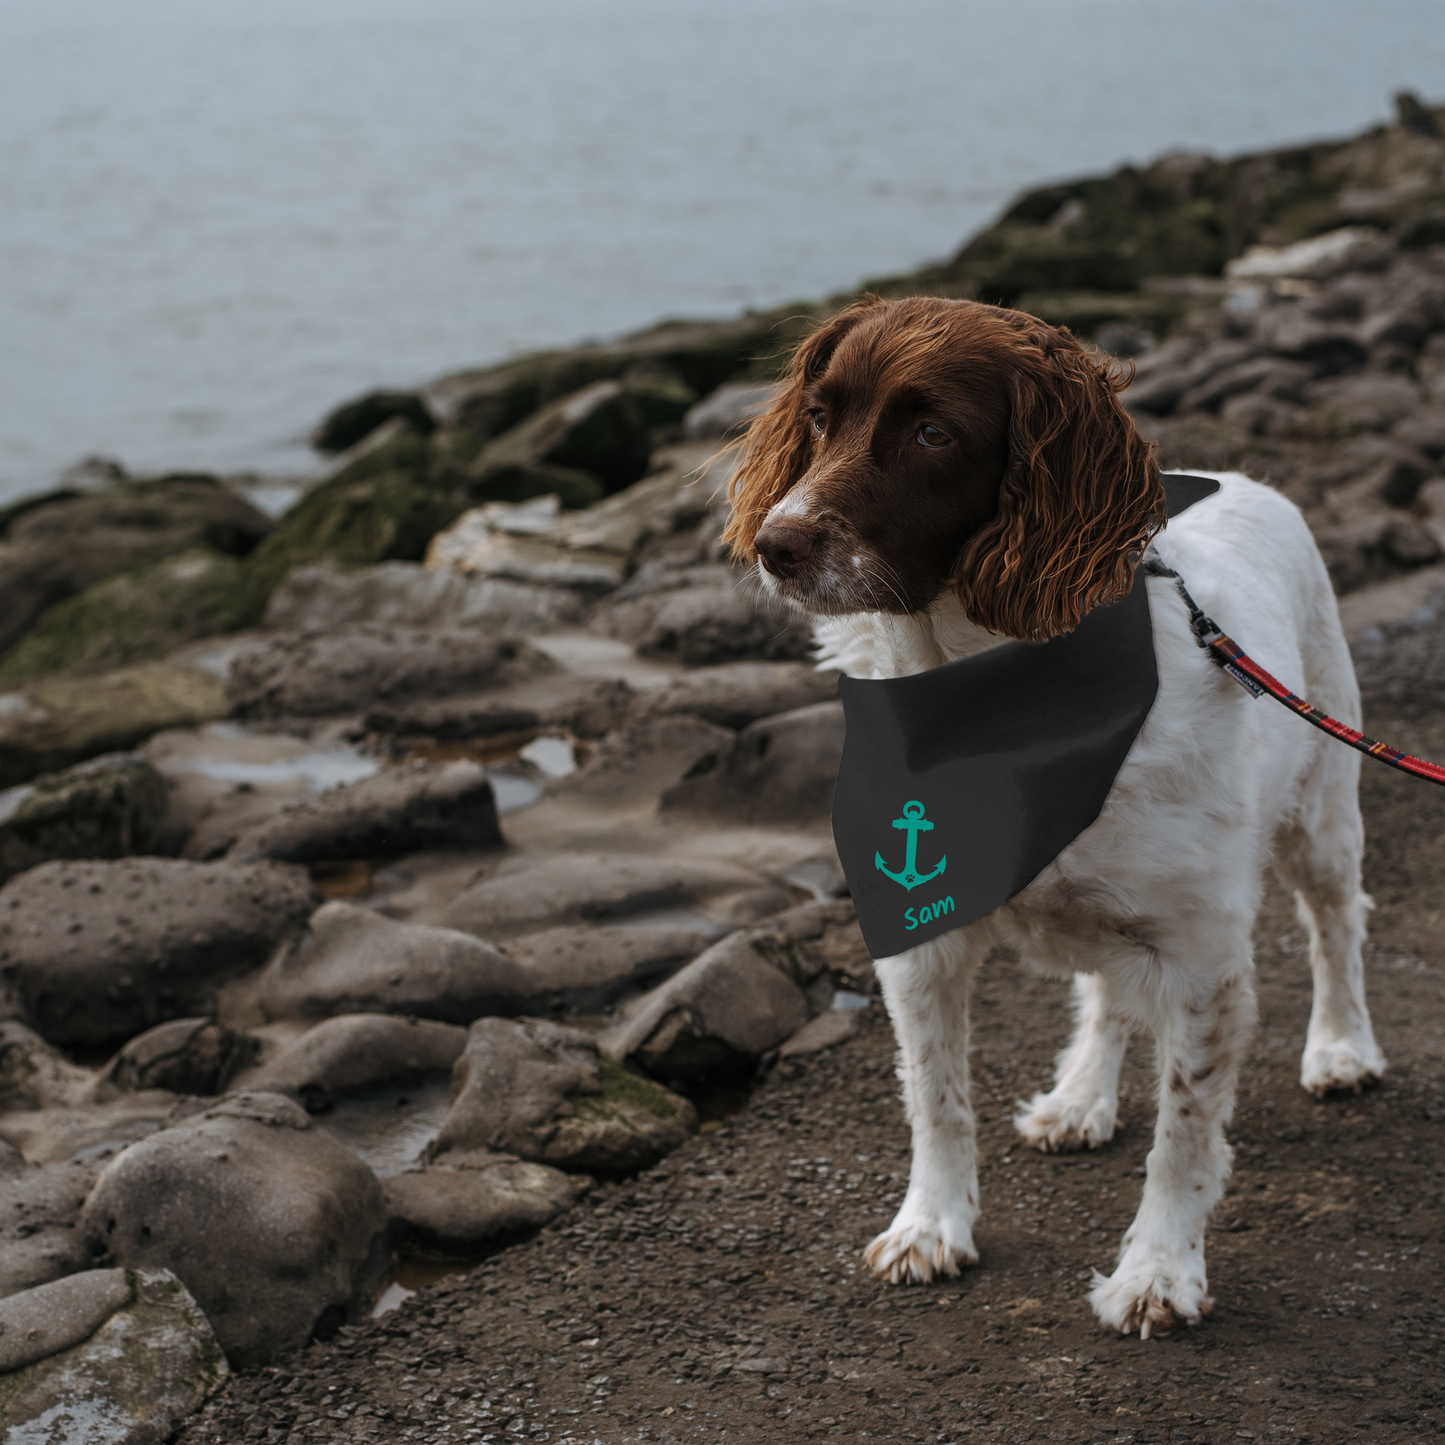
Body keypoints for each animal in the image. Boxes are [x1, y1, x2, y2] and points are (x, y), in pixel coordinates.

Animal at [728, 296, 1381, 1340]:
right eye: (822, 417)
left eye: (932, 433)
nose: (775, 544)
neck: (979, 689)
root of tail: (1239, 477)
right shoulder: (917, 942)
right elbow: (937, 1098)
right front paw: (931, 1224)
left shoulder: (1202, 957)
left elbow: (1182, 1135)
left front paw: (1158, 1271)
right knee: (1106, 991)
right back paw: (1079, 1098)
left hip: (1321, 805)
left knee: (1333, 924)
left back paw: (1342, 1046)